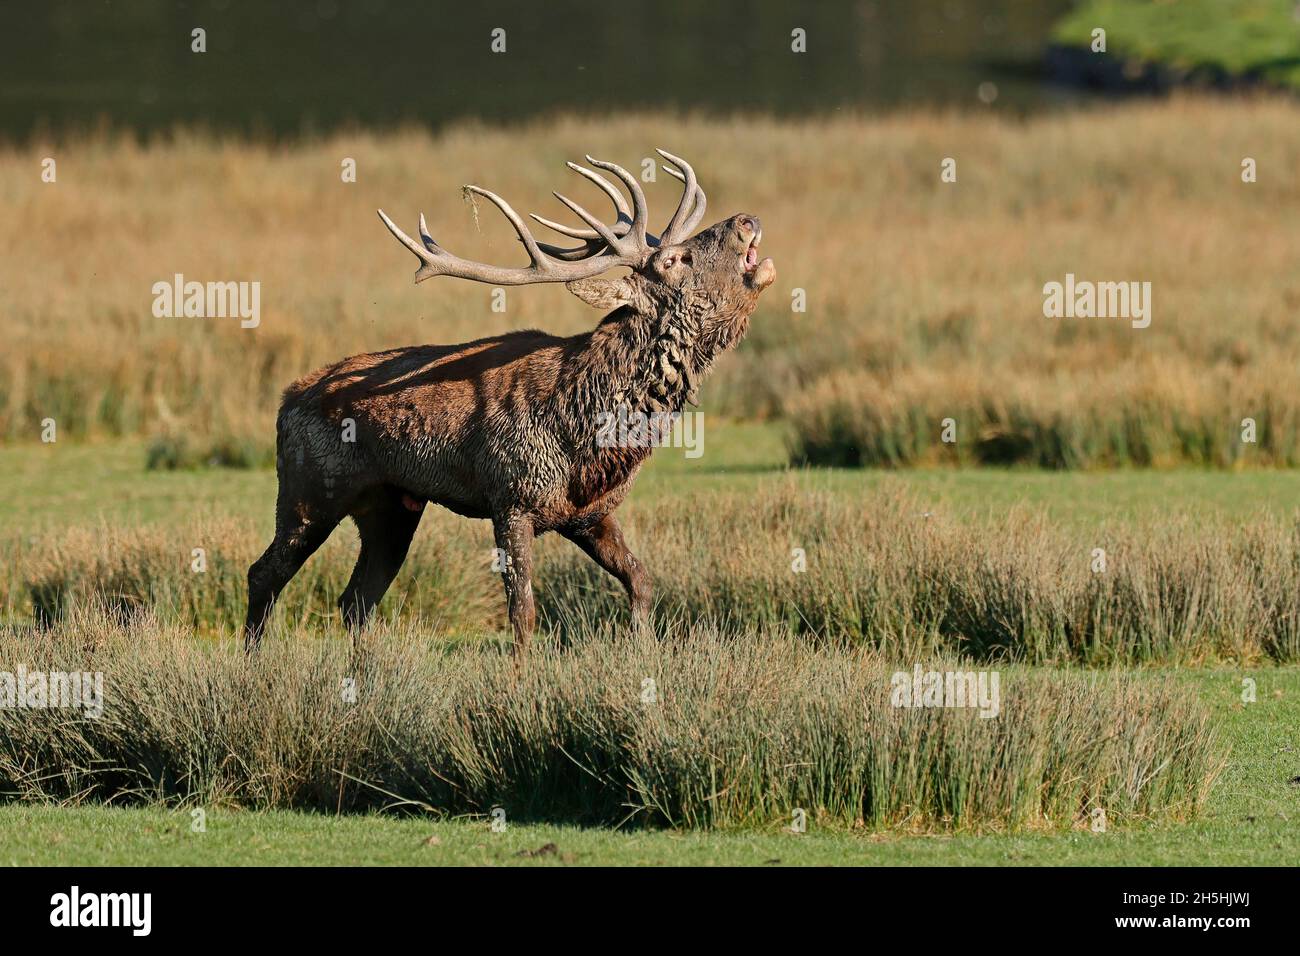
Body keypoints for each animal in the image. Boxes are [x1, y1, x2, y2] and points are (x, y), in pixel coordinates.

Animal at [243, 149, 769, 655]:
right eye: (674, 260)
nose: (746, 220)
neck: (589, 434)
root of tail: (286, 401)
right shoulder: (511, 498)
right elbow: (523, 613)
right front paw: (523, 675)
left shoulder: (590, 514)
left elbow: (640, 582)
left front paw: (642, 653)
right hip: (309, 491)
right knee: (264, 574)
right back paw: (255, 664)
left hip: (391, 508)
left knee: (356, 599)